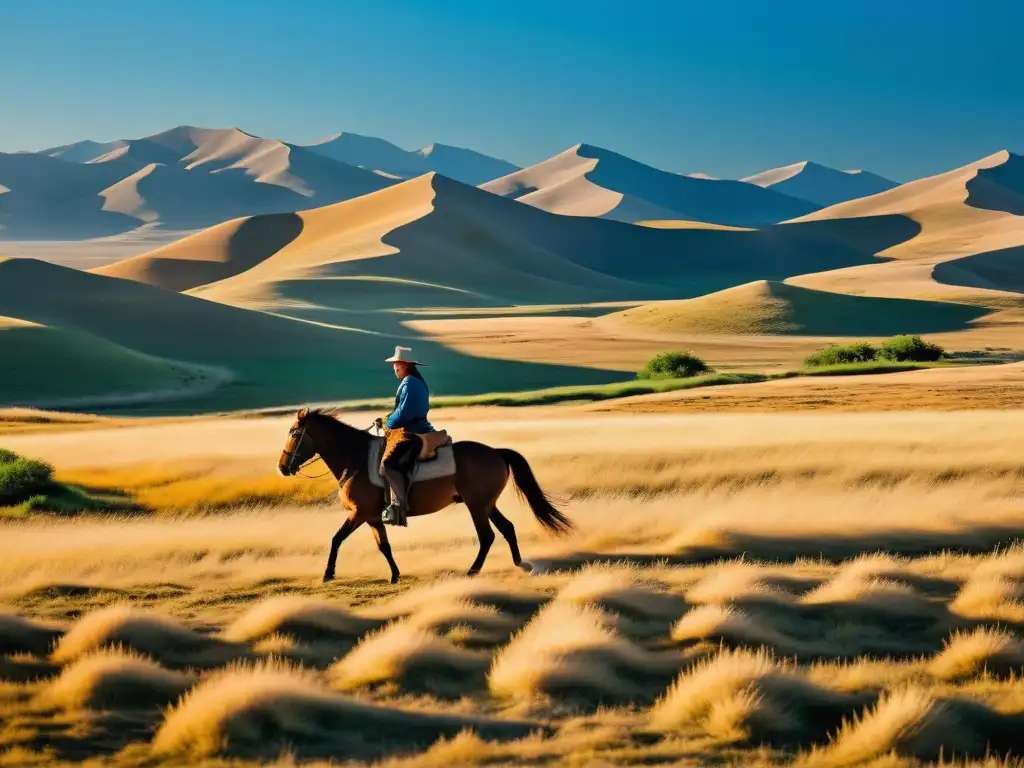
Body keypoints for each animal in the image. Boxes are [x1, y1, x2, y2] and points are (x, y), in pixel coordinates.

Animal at [276, 411, 573, 585]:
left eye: (294, 433)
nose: (282, 467)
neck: (355, 459)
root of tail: (496, 452)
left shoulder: (359, 513)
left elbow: (336, 538)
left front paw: (328, 574)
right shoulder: (372, 517)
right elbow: (384, 546)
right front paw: (395, 575)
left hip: (477, 506)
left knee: (487, 536)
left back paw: (473, 571)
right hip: (487, 504)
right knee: (507, 528)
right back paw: (522, 564)